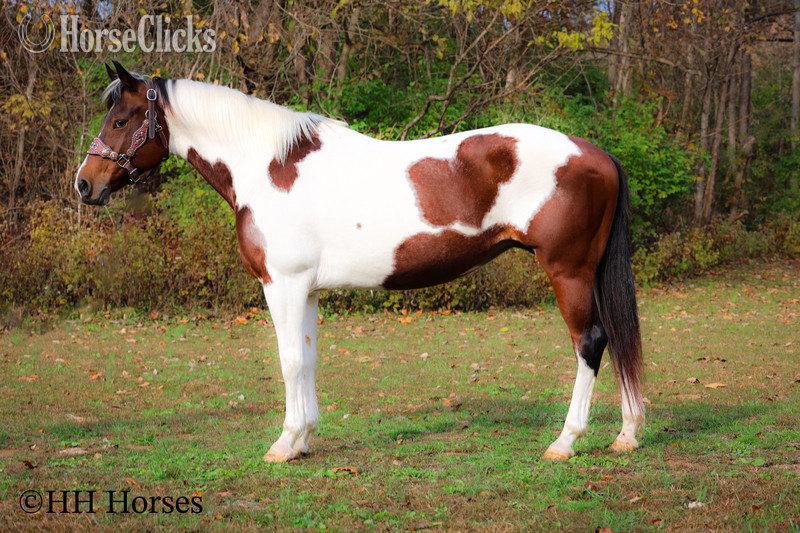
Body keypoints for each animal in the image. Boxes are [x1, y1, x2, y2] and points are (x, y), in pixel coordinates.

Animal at [75, 62, 644, 462]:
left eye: (121, 119)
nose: (85, 184)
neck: (270, 167)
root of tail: (596, 153)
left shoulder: (282, 284)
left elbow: (289, 360)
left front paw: (283, 444)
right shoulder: (304, 289)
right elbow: (308, 361)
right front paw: (303, 440)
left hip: (567, 272)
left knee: (591, 342)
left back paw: (565, 442)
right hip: (589, 274)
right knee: (617, 340)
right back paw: (627, 435)